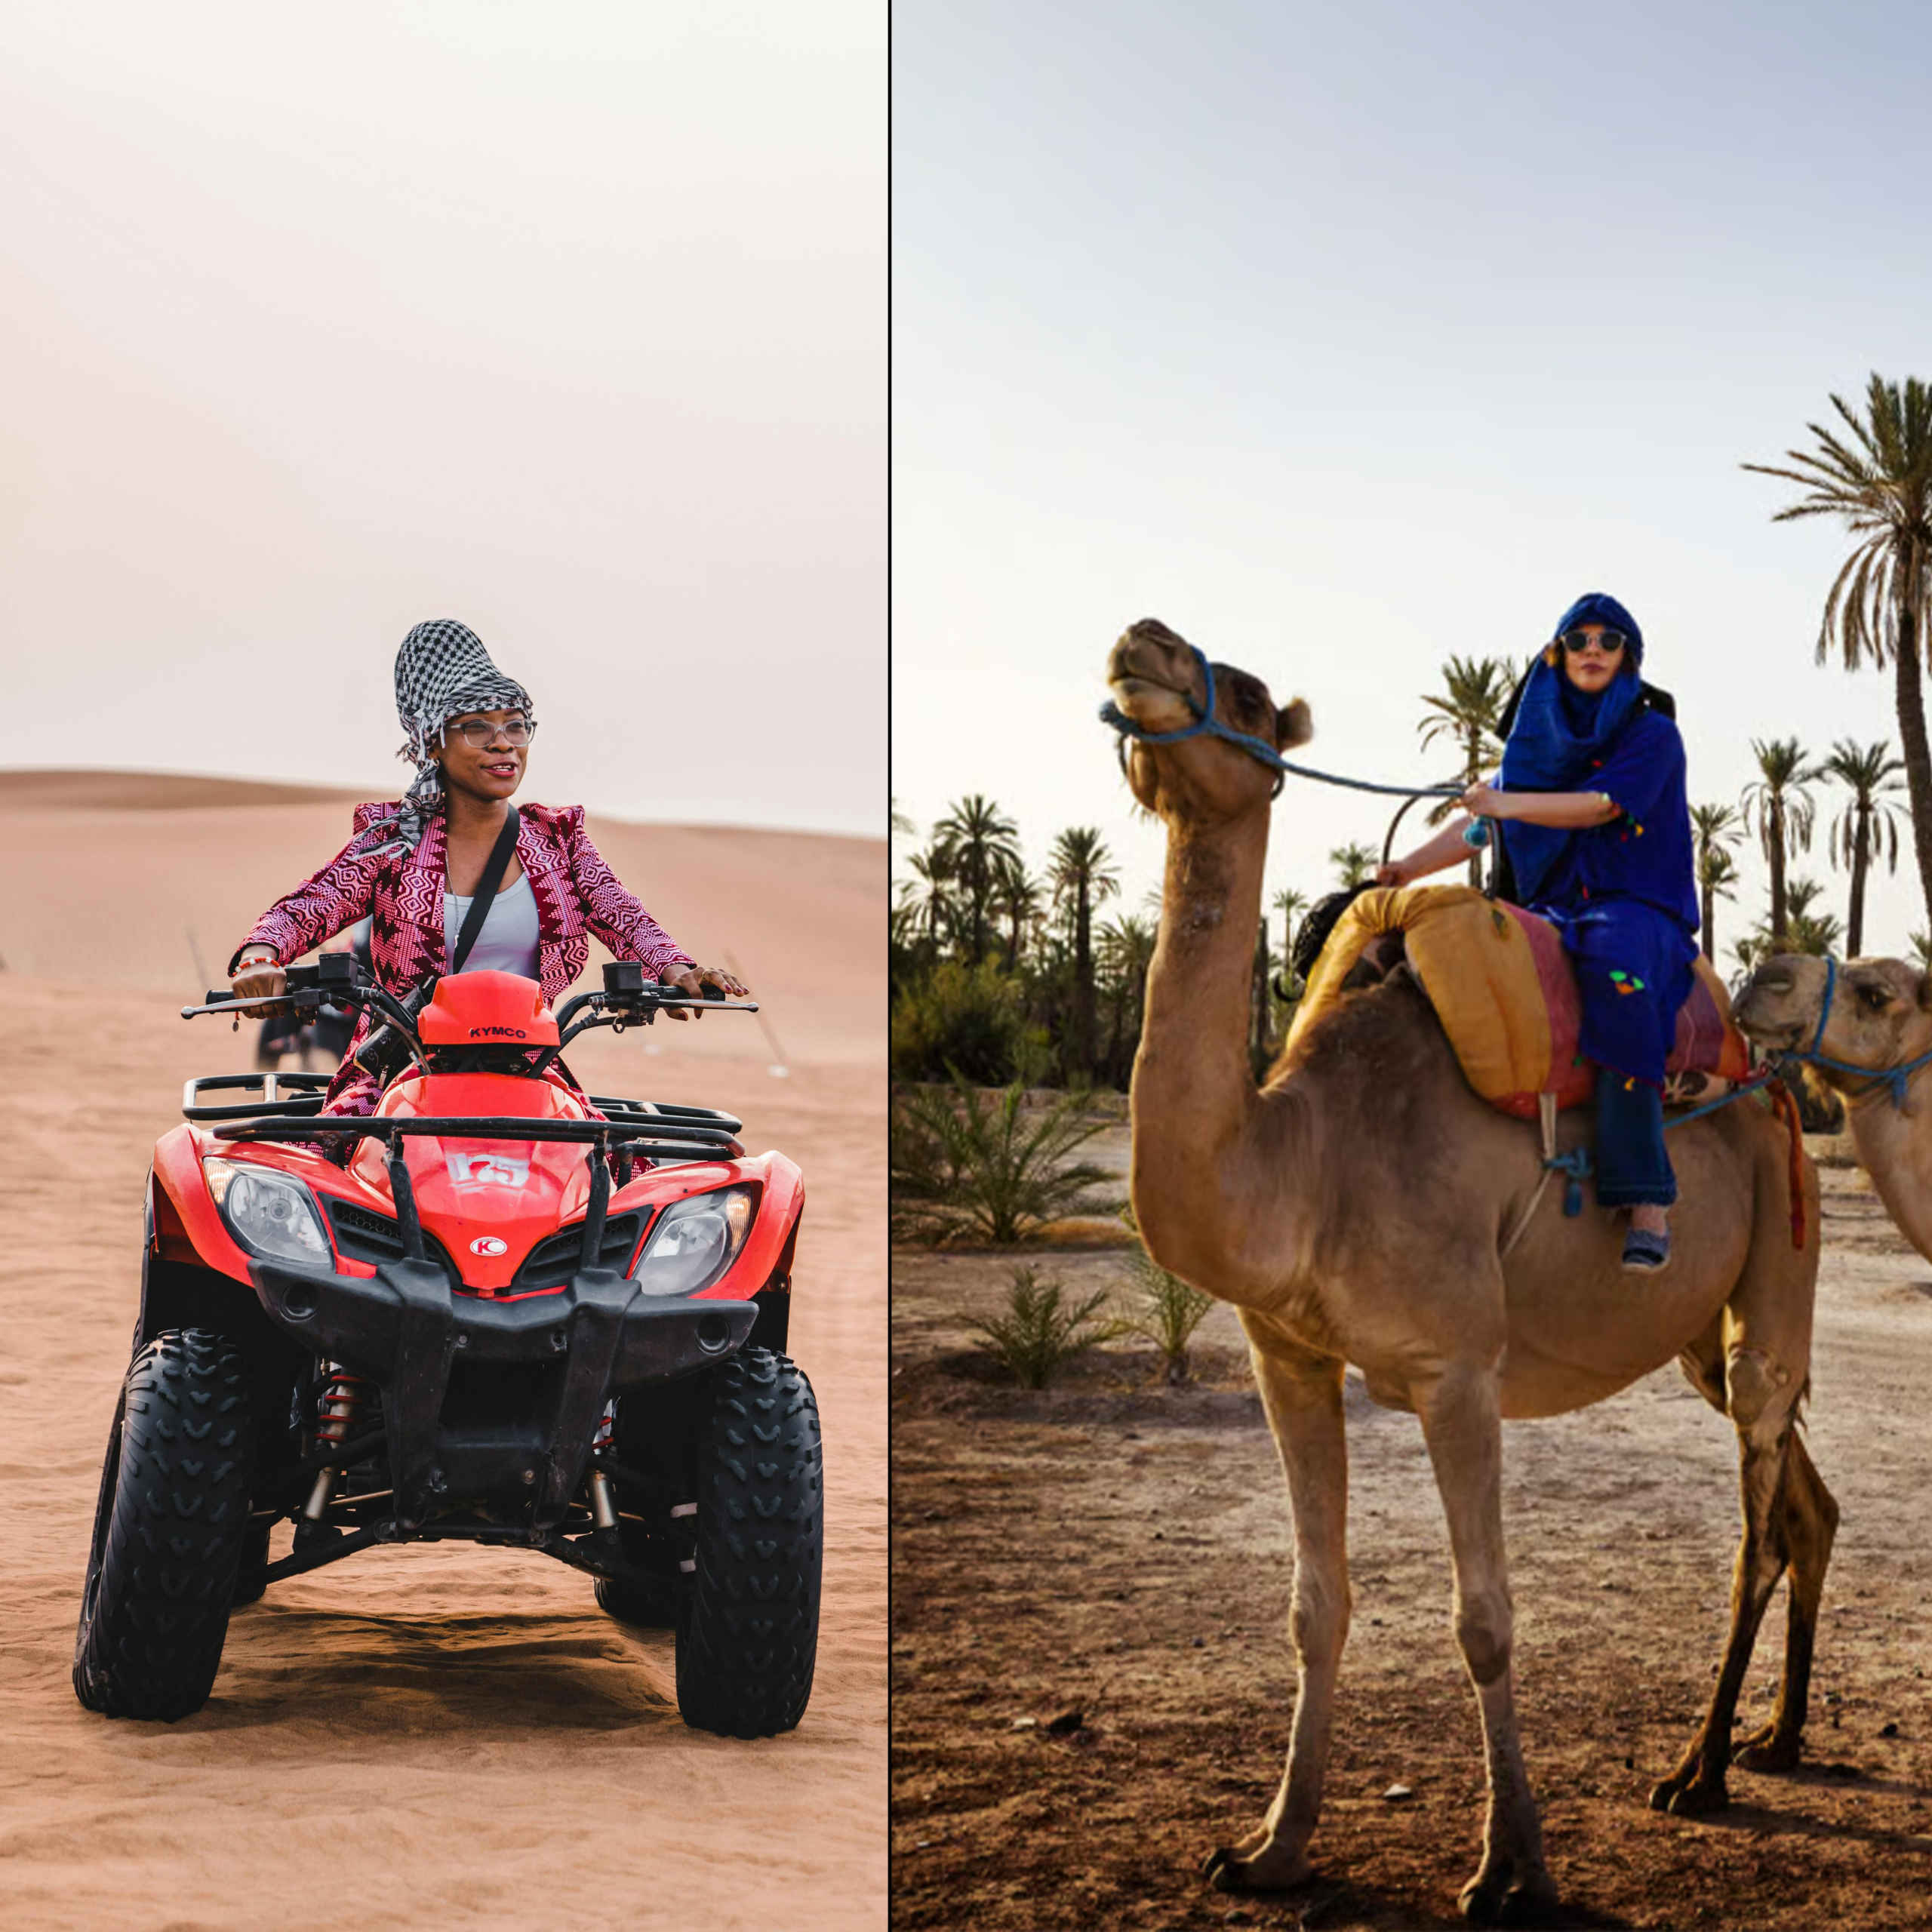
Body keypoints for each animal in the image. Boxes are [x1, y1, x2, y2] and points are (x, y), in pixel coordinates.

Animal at [1106, 618, 1837, 1923]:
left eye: (1245, 688)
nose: (1144, 642)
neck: (1306, 1157)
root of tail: (1776, 1090)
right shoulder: (1286, 1356)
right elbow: (1315, 1608)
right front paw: (1271, 1848)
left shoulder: (1458, 1369)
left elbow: (1484, 1620)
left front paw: (1511, 1868)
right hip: (1698, 1336)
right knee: (1806, 1504)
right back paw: (1776, 1741)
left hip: (1778, 1254)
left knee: (1758, 1518)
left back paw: (1697, 1772)